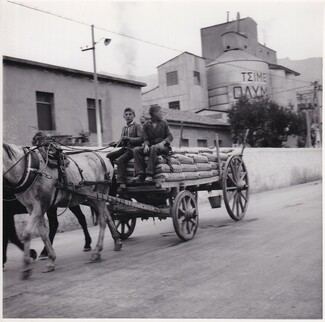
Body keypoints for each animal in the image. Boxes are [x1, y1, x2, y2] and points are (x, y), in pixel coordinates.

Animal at [2, 142, 121, 280]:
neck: (29, 169)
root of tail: (104, 157)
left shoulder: (39, 206)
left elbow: (26, 234)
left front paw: (27, 266)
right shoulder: (31, 208)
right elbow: (43, 233)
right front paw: (50, 259)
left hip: (100, 193)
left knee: (102, 220)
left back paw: (97, 251)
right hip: (91, 197)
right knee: (106, 215)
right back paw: (117, 241)